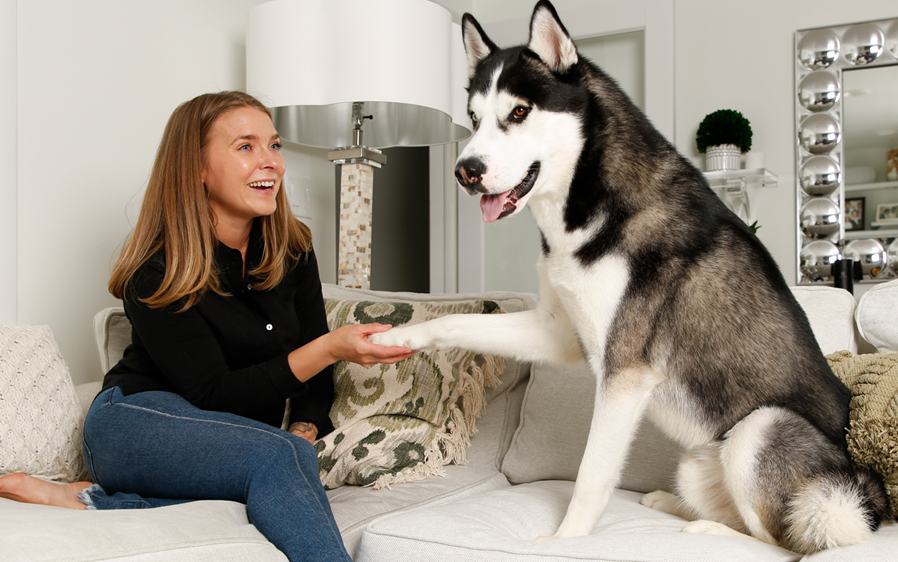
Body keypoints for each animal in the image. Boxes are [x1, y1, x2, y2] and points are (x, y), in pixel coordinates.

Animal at [368, 0, 884, 552]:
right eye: (472, 118)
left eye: (519, 112)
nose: (465, 171)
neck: (585, 204)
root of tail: (872, 491)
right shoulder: (560, 332)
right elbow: (453, 321)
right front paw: (392, 338)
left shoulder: (624, 374)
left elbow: (592, 475)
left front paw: (564, 543)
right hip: (695, 464)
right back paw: (672, 506)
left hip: (761, 430)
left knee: (783, 539)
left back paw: (704, 530)